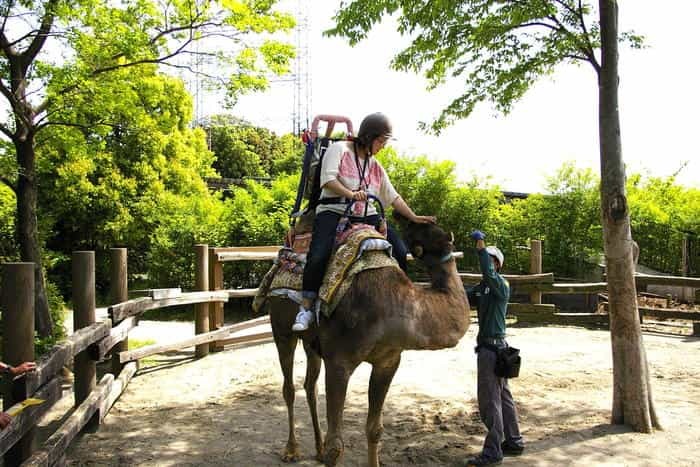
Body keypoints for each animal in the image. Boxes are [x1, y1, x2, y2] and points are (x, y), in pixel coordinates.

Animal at [266, 214, 470, 466]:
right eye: (417, 228)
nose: (402, 217)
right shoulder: (339, 362)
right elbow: (337, 445)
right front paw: (327, 450)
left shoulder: (388, 361)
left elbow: (374, 429)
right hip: (281, 328)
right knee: (289, 387)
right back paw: (291, 450)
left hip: (311, 343)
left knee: (310, 386)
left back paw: (318, 448)